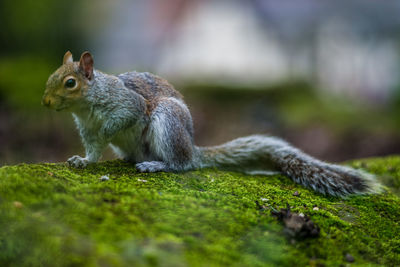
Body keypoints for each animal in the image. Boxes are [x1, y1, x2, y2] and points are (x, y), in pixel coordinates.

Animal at [41, 51, 382, 198]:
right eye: (52, 76)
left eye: (70, 82)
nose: (45, 102)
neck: (87, 106)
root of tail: (193, 148)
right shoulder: (85, 128)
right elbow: (92, 149)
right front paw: (82, 161)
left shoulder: (128, 104)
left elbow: (126, 117)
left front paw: (109, 130)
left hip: (168, 122)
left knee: (182, 165)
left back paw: (157, 164)